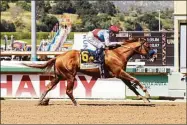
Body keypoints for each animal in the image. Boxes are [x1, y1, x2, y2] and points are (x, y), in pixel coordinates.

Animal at [24, 38, 156, 105]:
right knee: (68, 91)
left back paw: (40, 101)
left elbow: (132, 87)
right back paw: (76, 104)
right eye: (148, 46)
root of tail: (58, 56)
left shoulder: (120, 75)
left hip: (59, 76)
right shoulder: (119, 72)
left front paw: (144, 99)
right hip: (70, 76)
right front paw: (147, 94)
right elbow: (135, 80)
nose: (154, 55)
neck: (118, 54)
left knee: (48, 87)